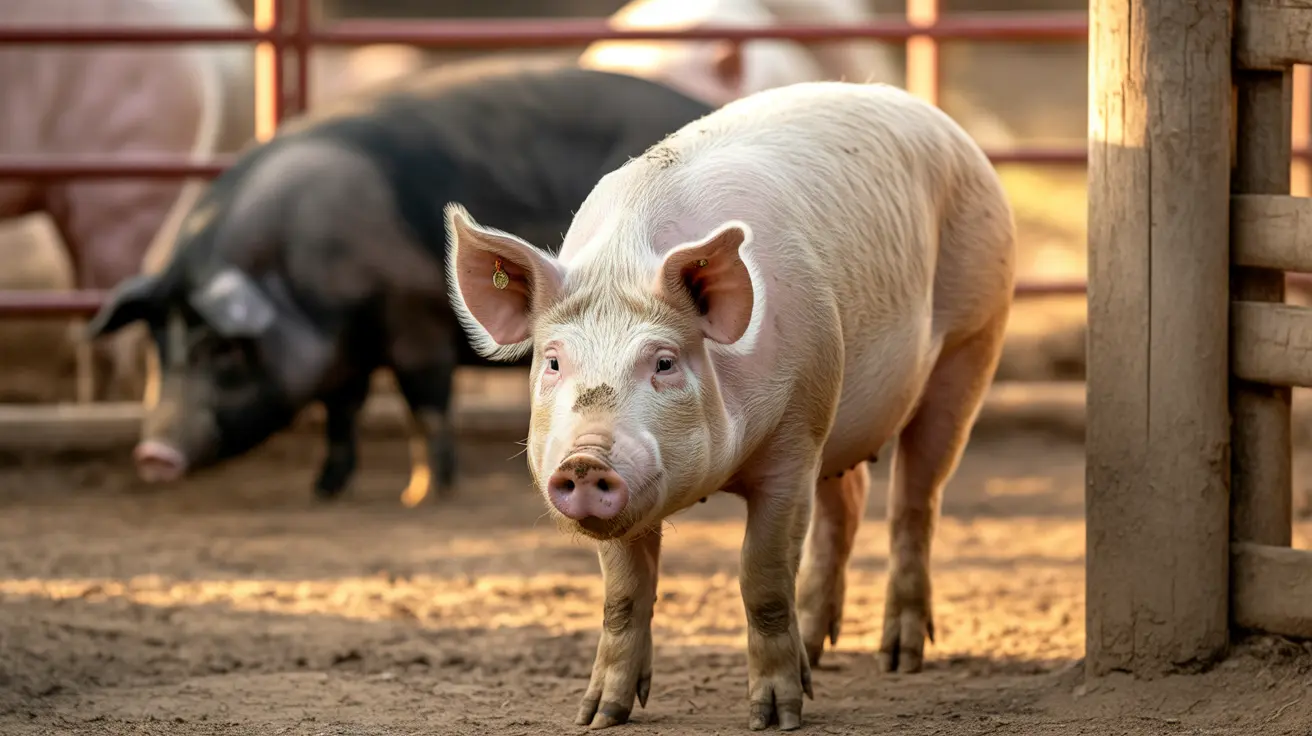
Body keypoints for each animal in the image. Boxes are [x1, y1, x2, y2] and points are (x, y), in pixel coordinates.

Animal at [84, 59, 714, 505]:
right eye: (157, 345)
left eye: (221, 349)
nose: (154, 454)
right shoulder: (344, 357)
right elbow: (341, 414)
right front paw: (325, 491)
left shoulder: (417, 322)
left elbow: (424, 405)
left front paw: (423, 494)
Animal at [445, 81, 1016, 730]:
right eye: (553, 362)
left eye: (664, 362)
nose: (585, 460)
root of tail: (950, 129)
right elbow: (623, 596)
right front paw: (599, 716)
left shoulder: (795, 436)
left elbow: (762, 578)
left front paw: (775, 718)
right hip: (839, 410)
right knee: (847, 502)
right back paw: (817, 649)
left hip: (973, 339)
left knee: (915, 501)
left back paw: (899, 659)